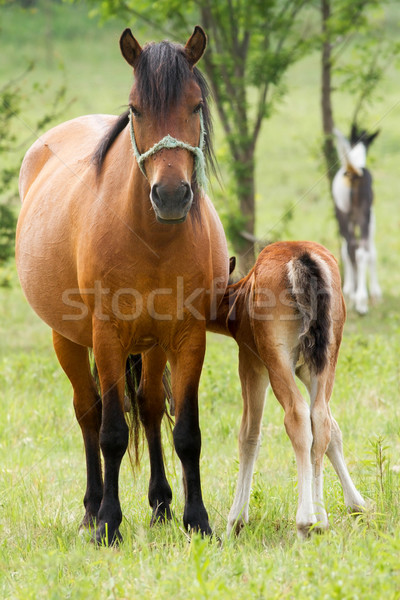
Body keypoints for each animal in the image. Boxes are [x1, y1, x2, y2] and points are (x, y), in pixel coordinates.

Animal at [16, 27, 228, 544]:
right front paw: (109, 524)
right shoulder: (108, 336)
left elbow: (186, 433)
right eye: (136, 108)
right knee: (89, 414)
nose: (170, 196)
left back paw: (161, 505)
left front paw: (196, 519)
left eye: (195, 105)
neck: (152, 239)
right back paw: (92, 509)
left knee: (149, 409)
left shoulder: (187, 337)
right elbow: (111, 433)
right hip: (69, 340)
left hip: (152, 345)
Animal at [209, 241, 366, 540]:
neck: (238, 299)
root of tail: (301, 256)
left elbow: (249, 435)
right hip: (327, 357)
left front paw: (235, 521)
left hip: (276, 359)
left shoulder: (251, 363)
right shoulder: (306, 370)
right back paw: (320, 521)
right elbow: (333, 430)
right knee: (320, 419)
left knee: (297, 417)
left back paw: (305, 522)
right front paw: (357, 505)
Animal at [332, 125, 382, 316]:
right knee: (358, 251)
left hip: (344, 215)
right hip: (360, 216)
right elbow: (372, 252)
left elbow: (349, 251)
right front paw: (375, 293)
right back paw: (360, 300)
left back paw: (355, 297)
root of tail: (353, 172)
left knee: (351, 248)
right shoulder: (371, 218)